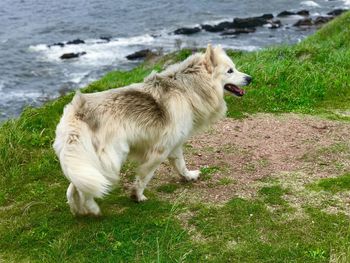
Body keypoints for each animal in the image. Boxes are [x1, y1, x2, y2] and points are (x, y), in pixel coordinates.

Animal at [52, 44, 252, 217]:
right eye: (230, 71)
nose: (250, 78)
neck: (188, 88)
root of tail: (77, 112)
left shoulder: (175, 144)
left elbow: (180, 164)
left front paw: (188, 176)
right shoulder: (160, 150)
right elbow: (144, 176)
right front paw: (137, 196)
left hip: (86, 159)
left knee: (76, 185)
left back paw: (77, 209)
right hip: (112, 157)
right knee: (85, 188)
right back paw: (92, 208)